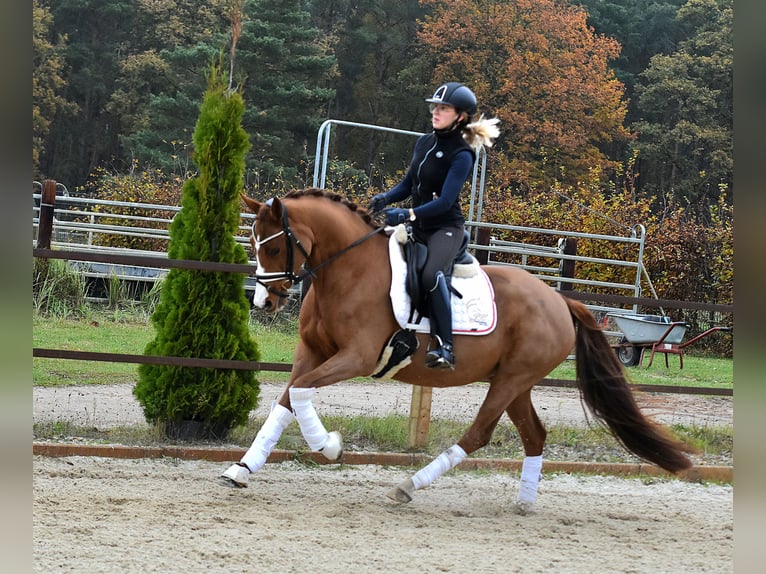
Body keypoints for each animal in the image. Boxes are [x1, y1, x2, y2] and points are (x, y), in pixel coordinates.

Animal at [222, 187, 696, 516]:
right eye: (254, 243)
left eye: (274, 246)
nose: (263, 303)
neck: (348, 270)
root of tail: (560, 301)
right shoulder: (312, 352)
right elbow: (288, 399)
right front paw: (241, 469)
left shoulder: (356, 357)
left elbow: (301, 393)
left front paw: (331, 447)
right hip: (516, 382)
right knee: (534, 435)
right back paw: (524, 503)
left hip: (511, 380)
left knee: (479, 434)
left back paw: (408, 486)